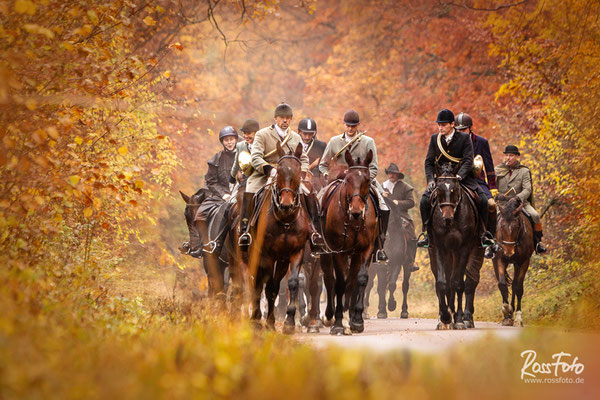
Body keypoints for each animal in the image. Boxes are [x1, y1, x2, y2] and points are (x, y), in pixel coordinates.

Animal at [246, 142, 310, 332]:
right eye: (279, 172)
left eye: (298, 172)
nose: (286, 204)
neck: (285, 219)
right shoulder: (267, 255)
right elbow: (269, 287)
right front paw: (268, 323)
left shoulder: (294, 253)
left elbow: (292, 283)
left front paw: (288, 322)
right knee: (257, 283)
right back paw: (256, 318)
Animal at [322, 150, 378, 334]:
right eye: (347, 179)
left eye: (367, 179)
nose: (356, 211)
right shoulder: (337, 251)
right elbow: (339, 283)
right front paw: (338, 323)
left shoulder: (365, 250)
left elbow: (360, 279)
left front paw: (357, 320)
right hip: (325, 255)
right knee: (329, 280)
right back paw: (329, 316)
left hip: (354, 256)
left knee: (351, 280)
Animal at [428, 162, 486, 328]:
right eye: (438, 189)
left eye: (454, 188)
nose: (446, 218)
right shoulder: (439, 249)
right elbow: (442, 284)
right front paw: (446, 316)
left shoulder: (464, 249)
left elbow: (459, 283)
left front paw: (459, 319)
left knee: (469, 280)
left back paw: (464, 318)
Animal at [492, 195, 536, 326]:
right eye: (501, 226)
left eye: (517, 227)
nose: (508, 252)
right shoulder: (499, 260)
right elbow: (502, 284)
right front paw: (506, 311)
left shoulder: (523, 262)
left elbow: (518, 288)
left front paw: (518, 317)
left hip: (516, 264)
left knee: (515, 285)